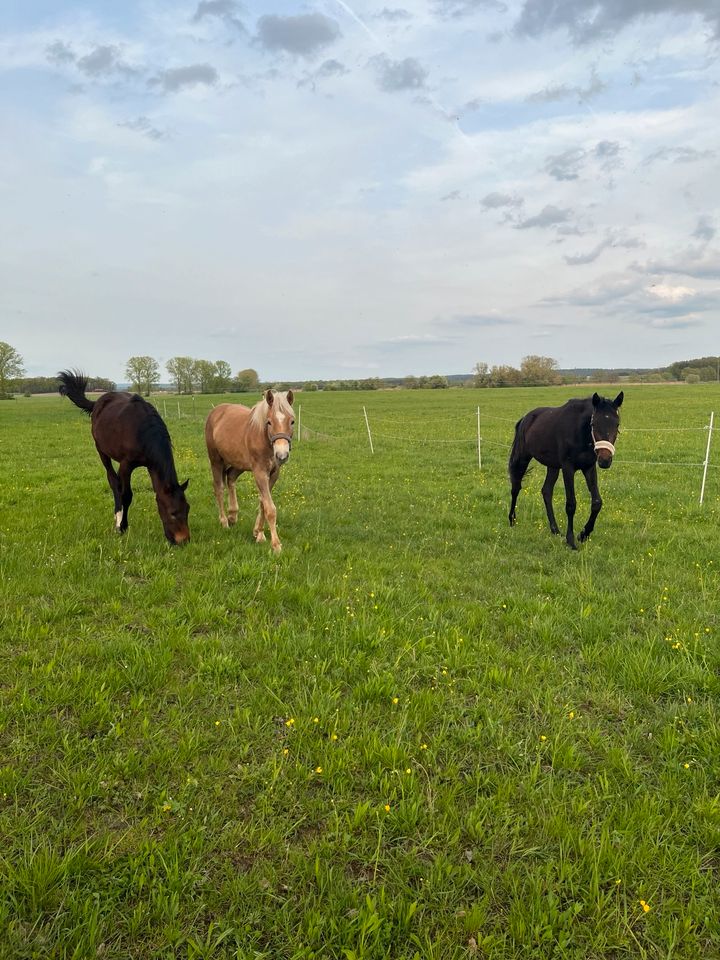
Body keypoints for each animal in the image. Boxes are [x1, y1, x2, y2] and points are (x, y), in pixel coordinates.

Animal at [58, 372, 190, 544]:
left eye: (187, 509)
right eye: (173, 512)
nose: (184, 540)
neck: (143, 431)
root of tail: (98, 402)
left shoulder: (150, 464)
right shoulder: (126, 465)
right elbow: (126, 494)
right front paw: (122, 527)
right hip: (101, 451)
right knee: (113, 481)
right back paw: (117, 518)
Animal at [204, 390, 294, 556]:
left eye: (292, 422)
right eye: (269, 422)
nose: (282, 455)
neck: (264, 439)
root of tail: (215, 411)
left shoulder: (273, 474)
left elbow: (263, 503)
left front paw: (258, 533)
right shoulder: (259, 472)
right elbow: (270, 508)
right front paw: (276, 545)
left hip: (238, 464)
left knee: (230, 478)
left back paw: (233, 515)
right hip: (216, 461)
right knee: (219, 488)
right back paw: (224, 521)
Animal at [506, 390, 624, 552]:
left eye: (616, 424)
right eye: (594, 424)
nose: (605, 460)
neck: (580, 432)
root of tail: (525, 418)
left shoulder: (589, 467)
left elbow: (597, 502)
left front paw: (584, 534)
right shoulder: (568, 468)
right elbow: (571, 504)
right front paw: (571, 540)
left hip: (553, 466)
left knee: (546, 491)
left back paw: (555, 530)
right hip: (523, 457)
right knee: (516, 487)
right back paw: (512, 520)